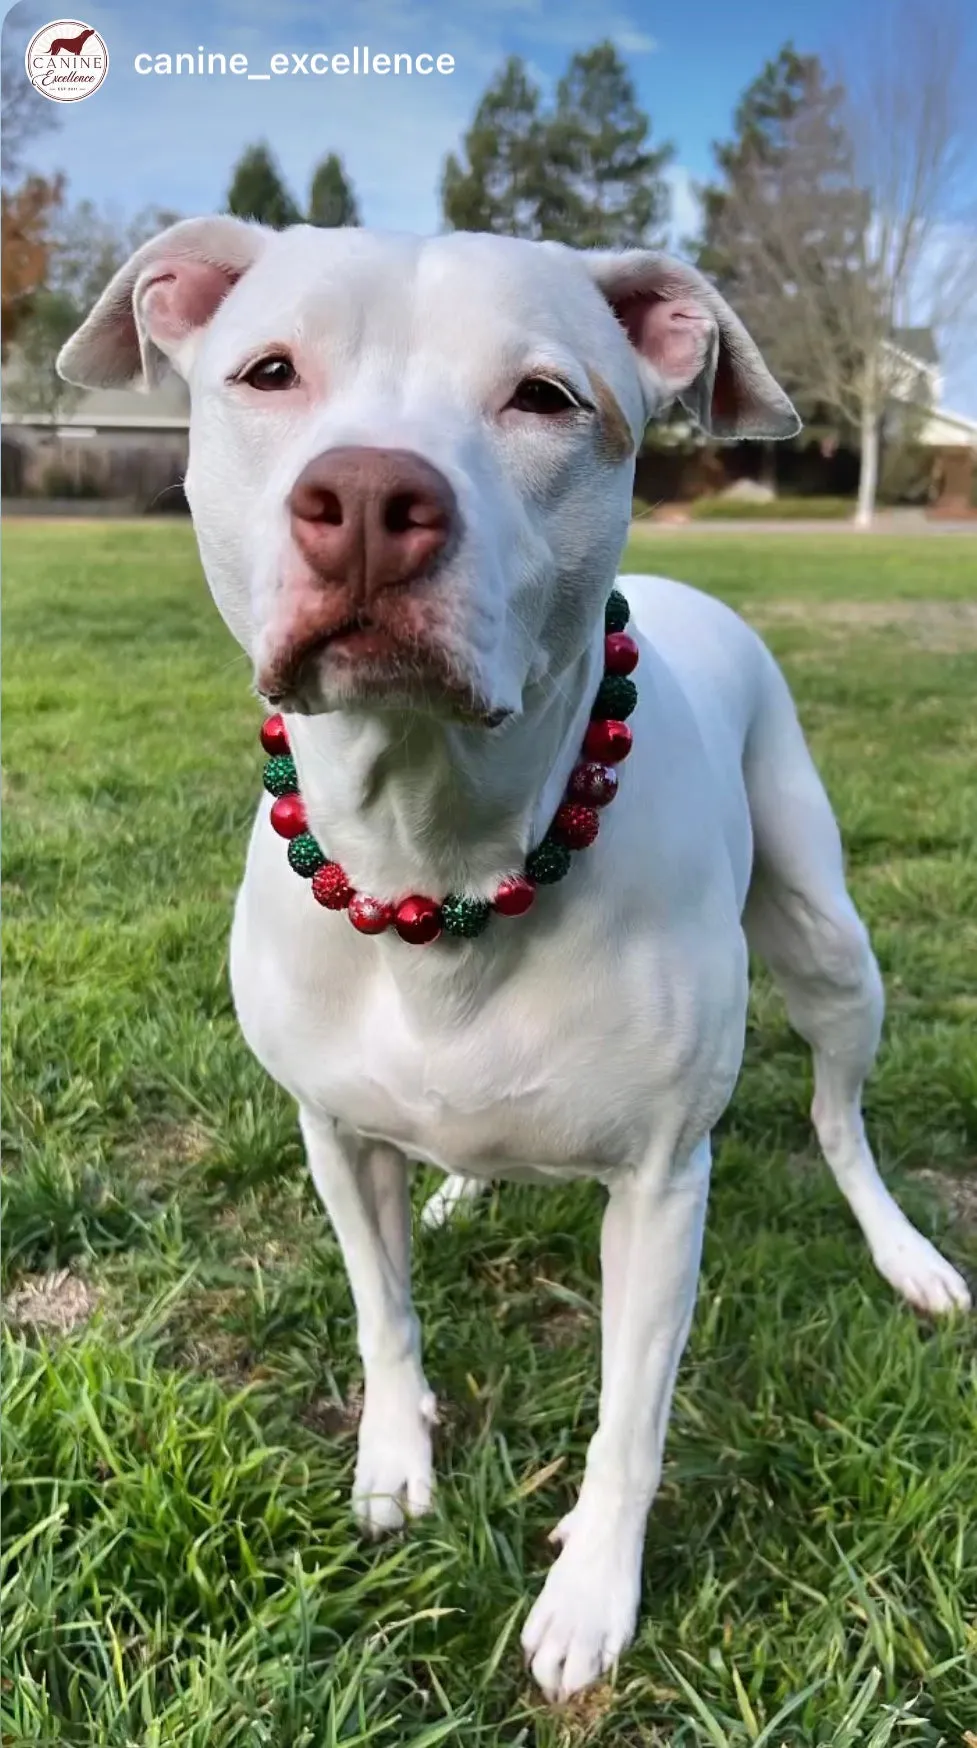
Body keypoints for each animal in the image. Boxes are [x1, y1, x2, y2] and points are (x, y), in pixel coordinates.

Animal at [59, 221, 971, 1706]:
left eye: (544, 398)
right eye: (268, 371)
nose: (369, 495)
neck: (434, 848)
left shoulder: (660, 1191)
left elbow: (630, 1417)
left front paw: (591, 1591)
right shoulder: (330, 1134)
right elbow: (381, 1311)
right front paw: (393, 1457)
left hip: (830, 947)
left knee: (839, 1116)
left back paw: (902, 1251)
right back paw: (457, 1198)